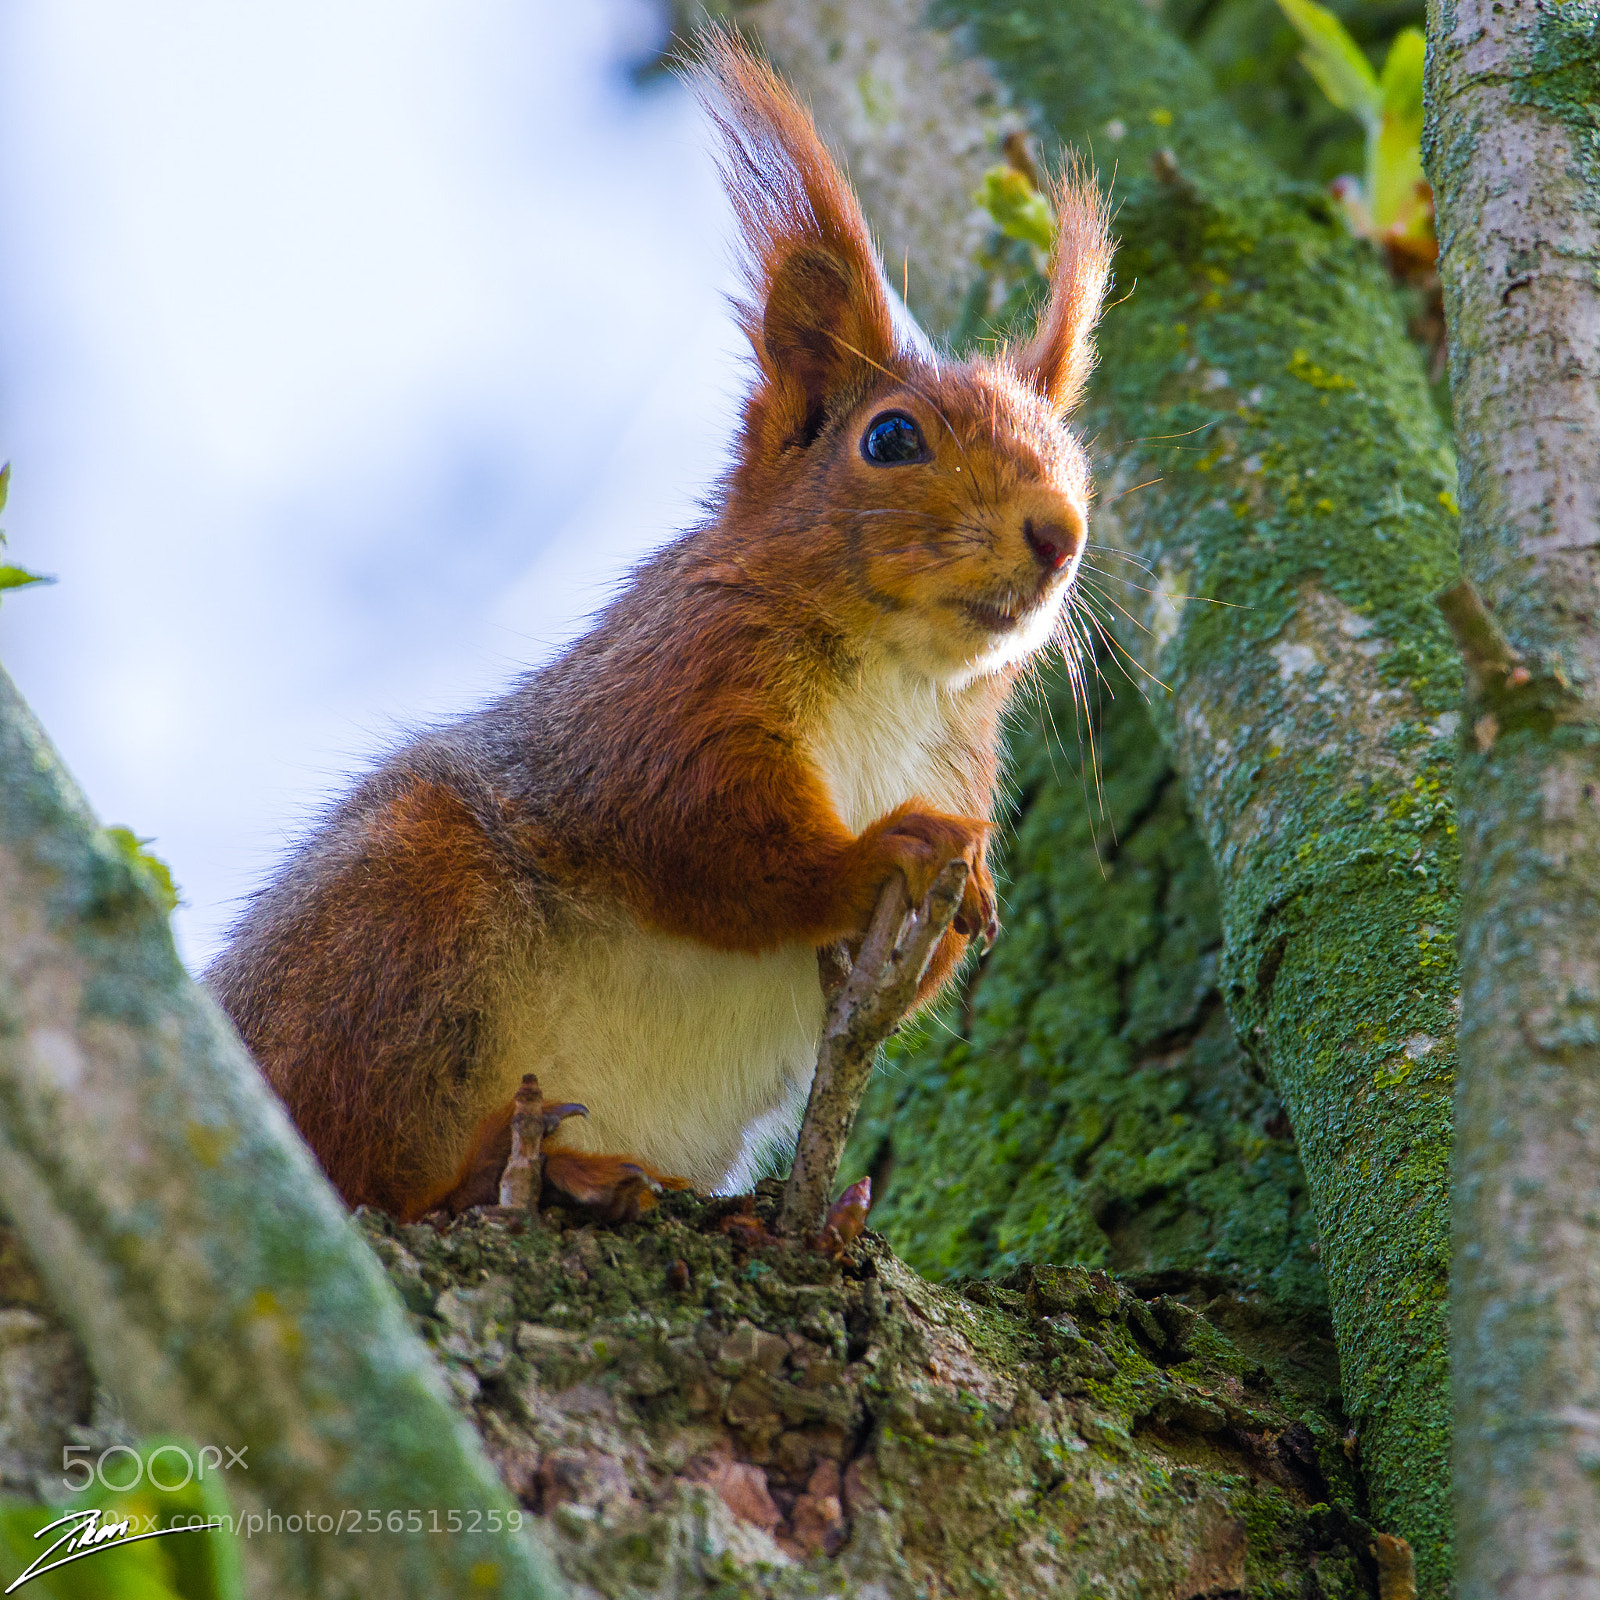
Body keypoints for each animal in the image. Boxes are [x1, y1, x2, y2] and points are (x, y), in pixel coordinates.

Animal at [204, 35, 1113, 1225]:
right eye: (892, 437)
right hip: (395, 924)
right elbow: (697, 830)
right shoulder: (668, 680)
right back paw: (535, 1168)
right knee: (370, 1169)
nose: (1059, 533)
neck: (899, 676)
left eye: (1074, 459)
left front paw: (969, 905)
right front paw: (882, 850)